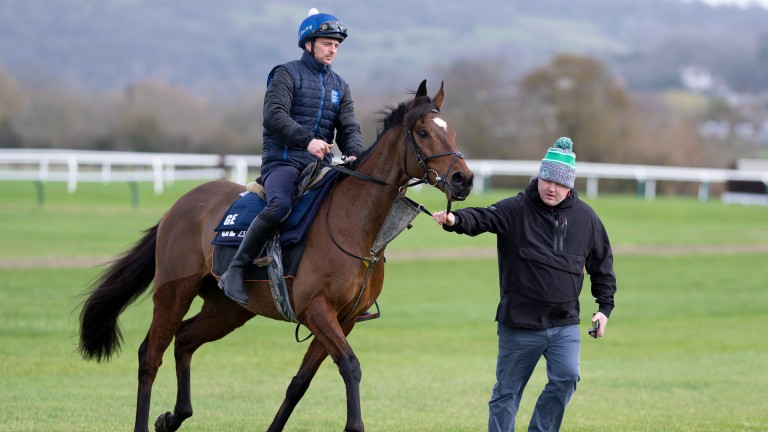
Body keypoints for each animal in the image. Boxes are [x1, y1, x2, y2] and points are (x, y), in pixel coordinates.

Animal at [78, 79, 474, 430]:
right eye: (423, 132)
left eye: (453, 132)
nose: (463, 179)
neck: (354, 224)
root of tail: (179, 206)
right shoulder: (317, 310)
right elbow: (350, 365)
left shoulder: (343, 318)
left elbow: (300, 382)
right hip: (173, 292)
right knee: (151, 354)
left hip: (228, 309)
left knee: (185, 340)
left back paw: (174, 417)